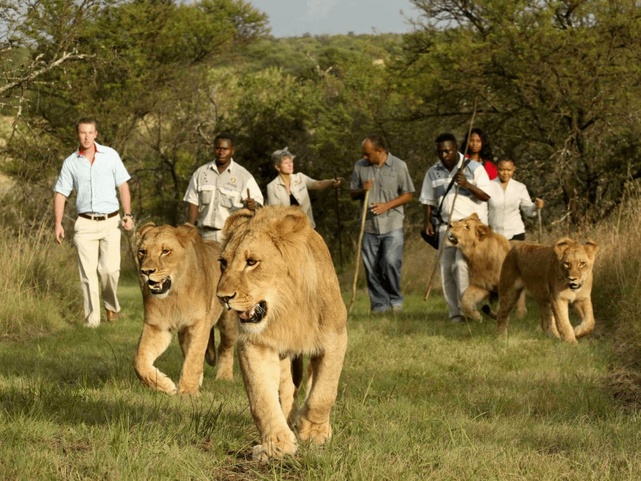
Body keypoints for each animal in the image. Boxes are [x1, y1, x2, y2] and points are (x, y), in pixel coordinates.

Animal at [134, 221, 238, 394]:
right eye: (142, 252)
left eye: (165, 251)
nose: (146, 272)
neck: (174, 295)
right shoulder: (157, 326)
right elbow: (139, 361)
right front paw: (165, 385)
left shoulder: (199, 323)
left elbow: (194, 357)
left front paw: (188, 391)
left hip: (228, 323)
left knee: (225, 347)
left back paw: (225, 377)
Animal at [216, 205, 348, 462]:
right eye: (223, 263)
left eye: (251, 262)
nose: (223, 297)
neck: (286, 311)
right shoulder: (255, 344)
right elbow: (261, 398)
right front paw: (276, 444)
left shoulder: (336, 338)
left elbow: (323, 393)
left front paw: (313, 432)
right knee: (287, 391)